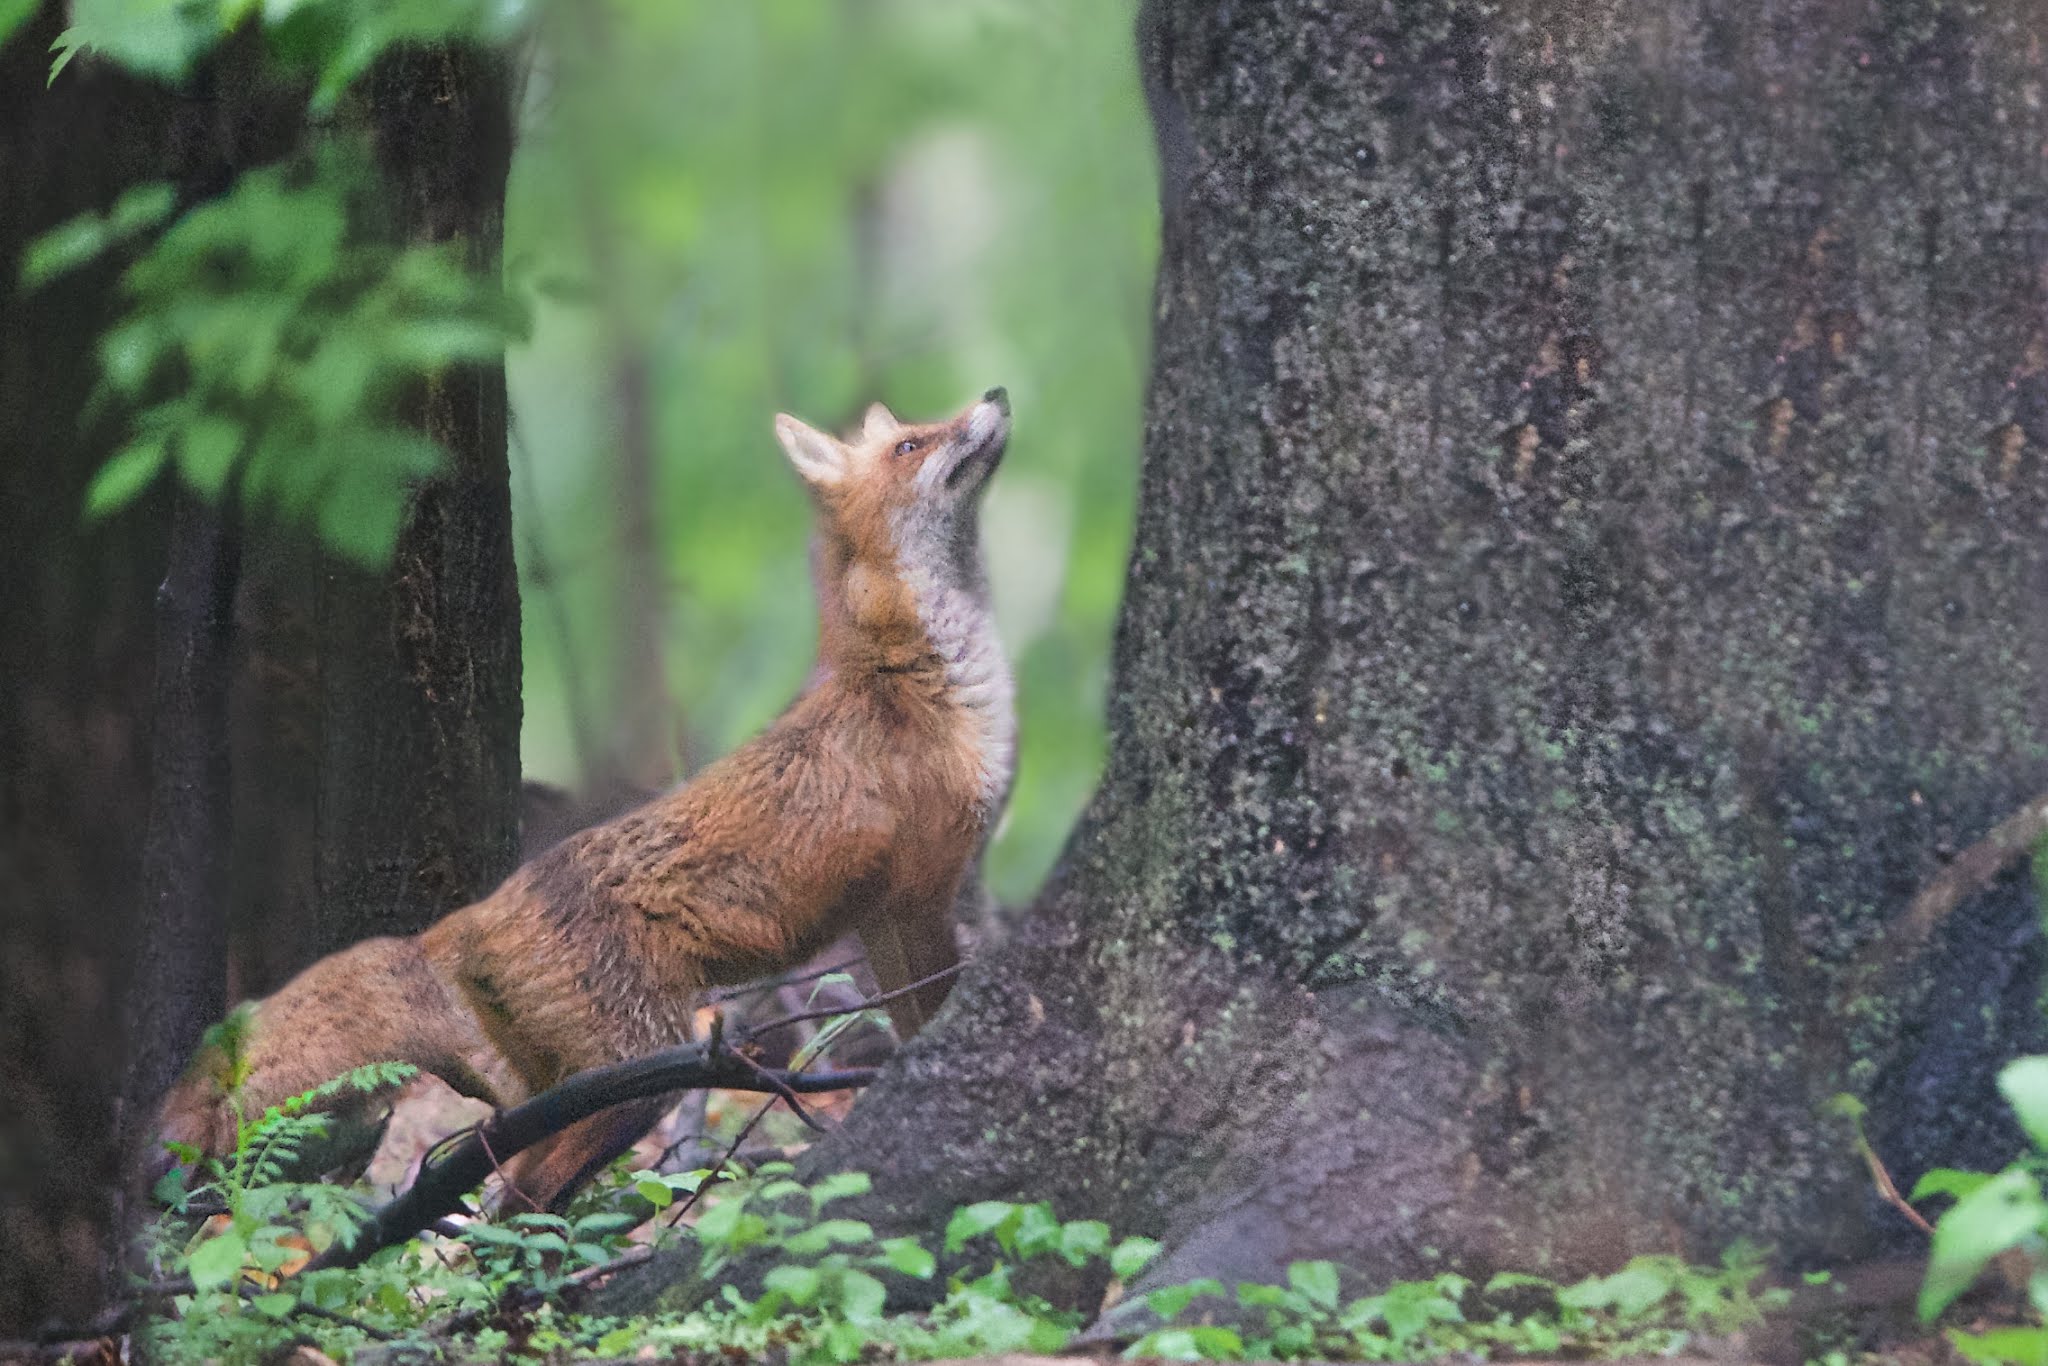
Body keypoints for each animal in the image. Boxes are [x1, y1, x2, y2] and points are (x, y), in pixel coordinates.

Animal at [150, 389, 1017, 1212]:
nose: (998, 395)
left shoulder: (907, 906)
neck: (922, 679)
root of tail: (463, 921)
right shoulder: (919, 896)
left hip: (562, 1094)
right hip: (637, 1086)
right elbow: (931, 1022)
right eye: (912, 444)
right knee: (513, 1202)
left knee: (502, 1200)